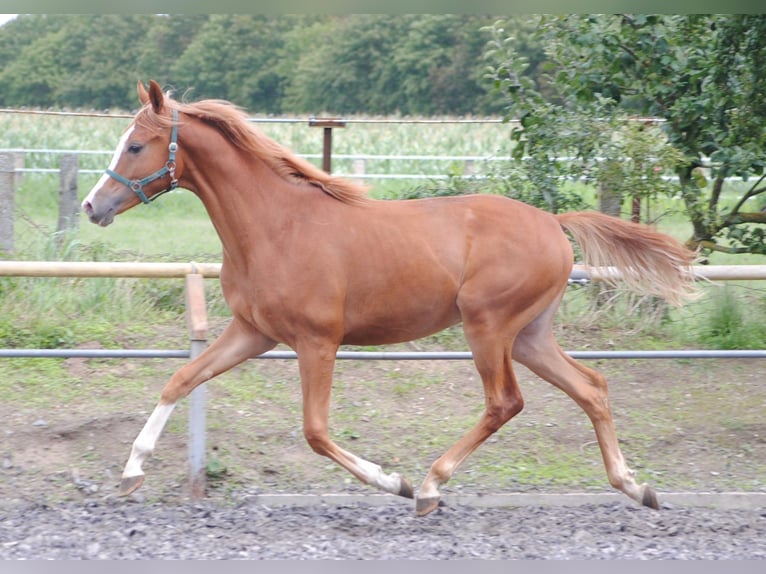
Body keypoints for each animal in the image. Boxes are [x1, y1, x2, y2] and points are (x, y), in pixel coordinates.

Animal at [81, 81, 700, 516]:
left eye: (136, 144)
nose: (93, 206)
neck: (276, 225)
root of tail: (553, 221)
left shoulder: (317, 341)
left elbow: (315, 431)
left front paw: (392, 482)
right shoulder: (252, 331)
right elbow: (180, 379)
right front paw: (131, 473)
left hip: (488, 326)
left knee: (505, 402)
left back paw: (428, 485)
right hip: (529, 335)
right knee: (591, 387)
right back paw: (635, 487)